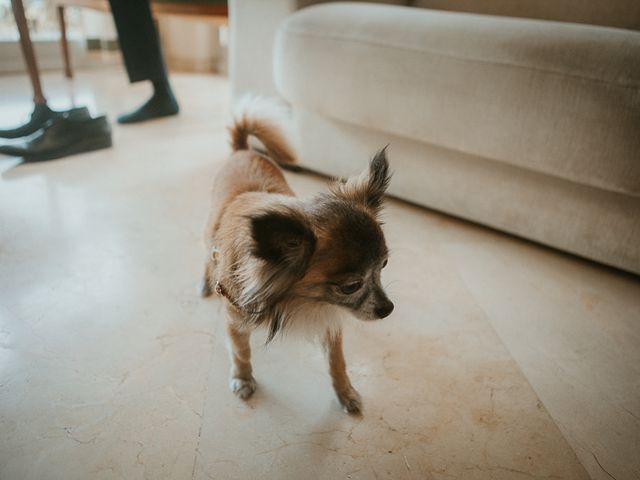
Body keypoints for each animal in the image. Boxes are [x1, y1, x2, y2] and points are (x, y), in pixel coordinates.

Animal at [200, 99, 392, 414]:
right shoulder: (235, 320)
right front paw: (243, 379)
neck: (297, 301)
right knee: (206, 256)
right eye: (351, 286)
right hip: (209, 232)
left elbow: (337, 361)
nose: (388, 308)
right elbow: (241, 352)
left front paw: (345, 392)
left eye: (383, 267)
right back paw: (205, 282)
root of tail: (243, 149)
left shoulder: (329, 318)